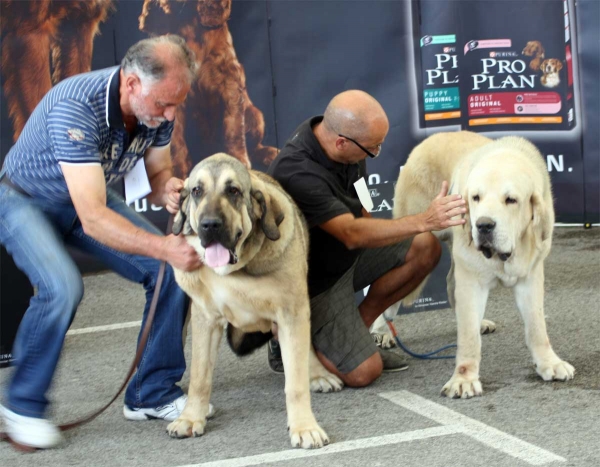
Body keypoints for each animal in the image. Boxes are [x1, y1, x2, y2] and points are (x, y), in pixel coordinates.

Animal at [372, 132, 576, 398]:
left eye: (511, 200)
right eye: (476, 198)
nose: (484, 225)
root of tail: (429, 139)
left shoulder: (530, 276)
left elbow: (536, 326)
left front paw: (549, 363)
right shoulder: (471, 278)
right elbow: (468, 338)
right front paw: (463, 379)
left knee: (450, 283)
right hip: (414, 234)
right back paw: (382, 331)